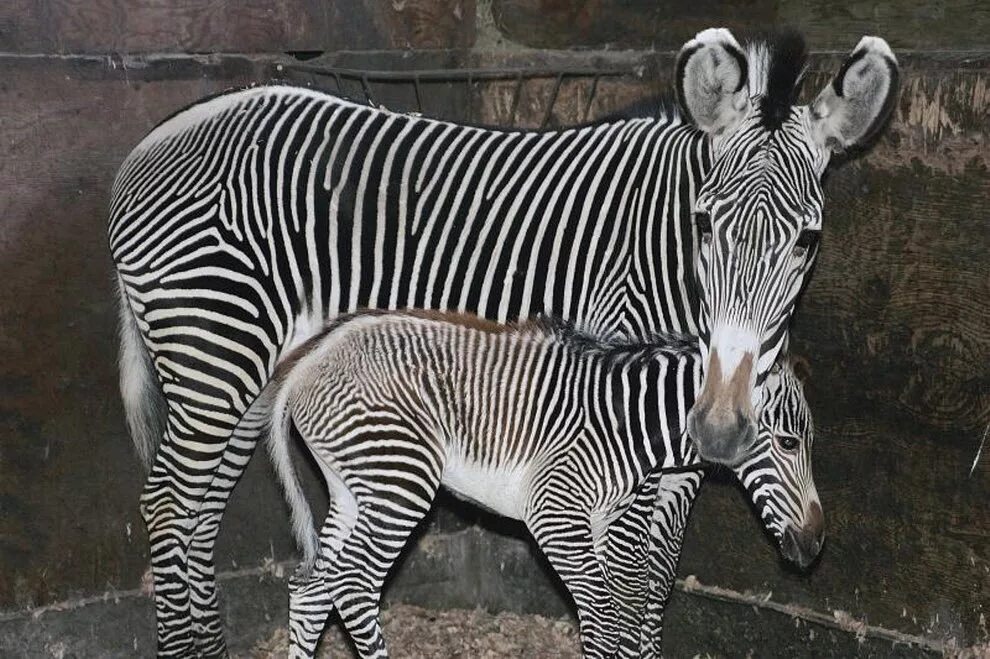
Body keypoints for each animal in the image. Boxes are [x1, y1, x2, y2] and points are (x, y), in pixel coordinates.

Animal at [262, 312, 820, 656]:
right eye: (790, 441)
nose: (814, 545)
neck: (626, 422)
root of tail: (308, 360)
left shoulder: (604, 524)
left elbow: (625, 613)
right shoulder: (557, 514)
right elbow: (601, 621)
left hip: (354, 487)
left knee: (312, 589)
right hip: (400, 478)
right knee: (352, 585)